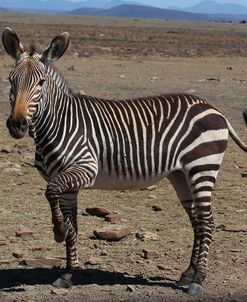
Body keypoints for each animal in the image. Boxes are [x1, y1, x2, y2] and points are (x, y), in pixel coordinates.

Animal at [1, 27, 247, 296]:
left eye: (41, 83)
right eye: (11, 80)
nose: (17, 124)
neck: (59, 123)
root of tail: (214, 108)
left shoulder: (85, 167)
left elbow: (51, 191)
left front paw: (58, 230)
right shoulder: (68, 182)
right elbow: (72, 224)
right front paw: (67, 273)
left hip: (202, 166)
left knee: (208, 222)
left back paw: (198, 280)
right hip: (181, 175)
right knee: (197, 222)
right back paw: (187, 274)